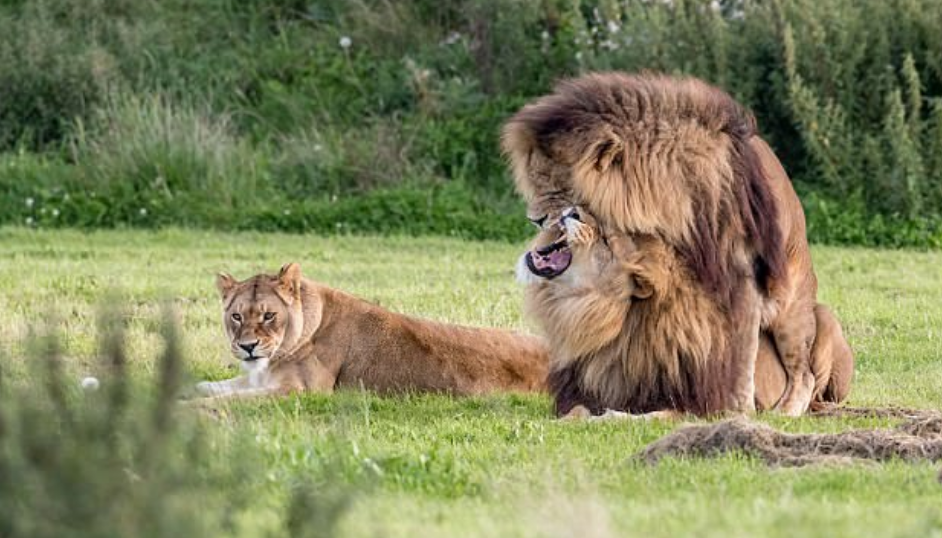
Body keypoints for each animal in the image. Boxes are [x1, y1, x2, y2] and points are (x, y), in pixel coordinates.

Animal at [195, 262, 548, 400]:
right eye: (237, 316)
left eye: (269, 315)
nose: (248, 347)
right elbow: (210, 386)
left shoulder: (300, 391)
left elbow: (230, 399)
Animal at [506, 71, 860, 414]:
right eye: (535, 181)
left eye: (554, 186)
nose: (534, 219)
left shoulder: (741, 277)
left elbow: (740, 355)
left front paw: (736, 409)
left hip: (797, 311)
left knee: (803, 374)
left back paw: (784, 410)